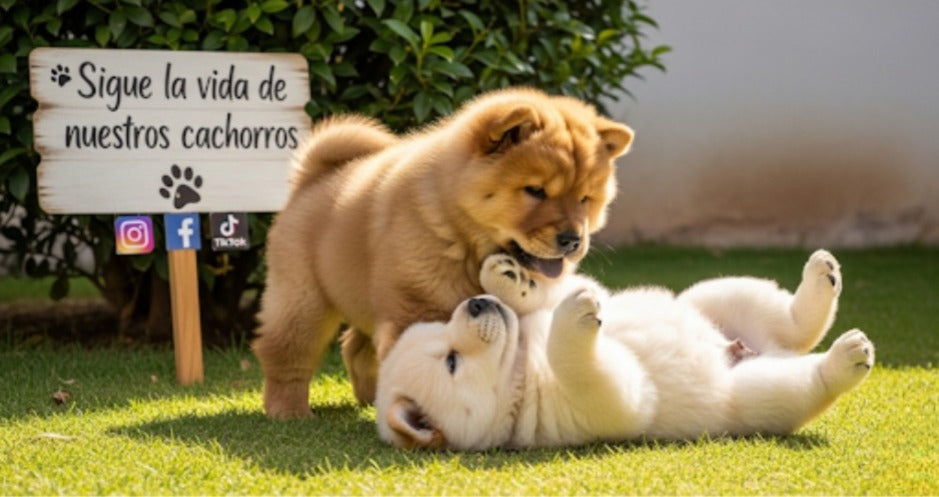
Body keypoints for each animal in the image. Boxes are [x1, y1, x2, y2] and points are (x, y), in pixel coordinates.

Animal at [252, 87, 635, 418]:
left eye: (585, 198)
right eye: (535, 191)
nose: (572, 239)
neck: (463, 235)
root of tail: (312, 179)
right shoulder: (416, 303)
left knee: (355, 348)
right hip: (304, 301)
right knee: (286, 353)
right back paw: (289, 411)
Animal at [376, 250, 875, 449]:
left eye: (444, 327)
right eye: (451, 362)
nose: (475, 304)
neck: (519, 360)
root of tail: (753, 351)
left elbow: (554, 292)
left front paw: (507, 277)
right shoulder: (604, 402)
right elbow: (579, 363)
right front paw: (576, 316)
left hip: (717, 294)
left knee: (793, 323)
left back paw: (822, 276)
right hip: (752, 395)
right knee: (807, 377)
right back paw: (847, 355)